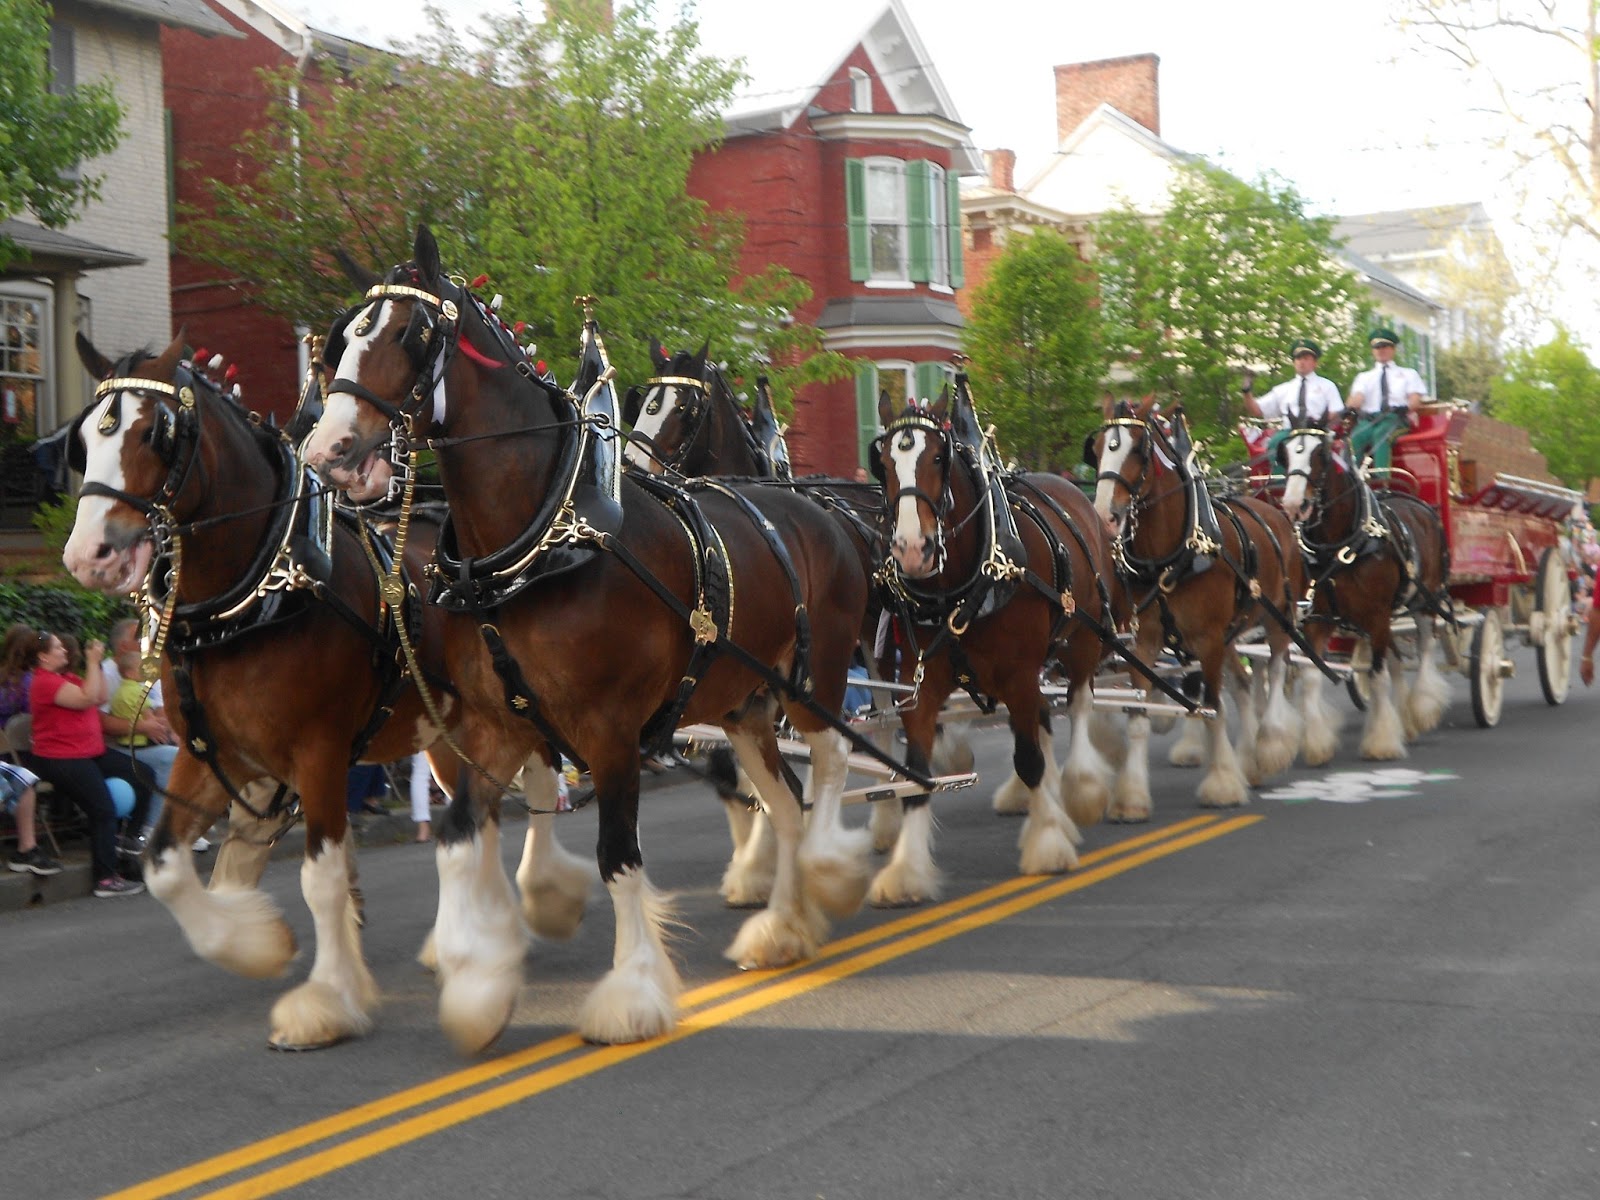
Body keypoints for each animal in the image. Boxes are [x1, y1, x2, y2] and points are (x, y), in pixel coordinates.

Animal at [300, 227, 876, 1049]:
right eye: (343, 337)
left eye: (411, 335)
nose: (329, 449)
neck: (544, 541)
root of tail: (824, 511)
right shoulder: (496, 723)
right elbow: (458, 833)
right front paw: (477, 987)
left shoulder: (610, 730)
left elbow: (619, 857)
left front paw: (630, 994)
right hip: (745, 703)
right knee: (785, 800)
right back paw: (784, 926)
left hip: (817, 676)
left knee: (829, 762)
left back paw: (832, 869)